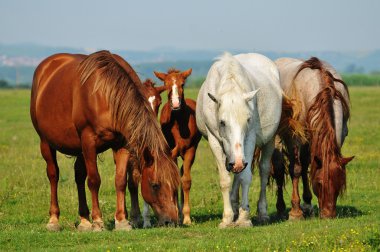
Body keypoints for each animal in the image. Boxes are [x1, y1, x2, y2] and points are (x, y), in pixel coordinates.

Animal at [30, 50, 180, 231]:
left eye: (175, 184)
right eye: (155, 185)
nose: (170, 221)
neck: (106, 94)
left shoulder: (122, 144)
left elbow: (120, 180)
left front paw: (122, 220)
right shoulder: (89, 141)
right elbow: (94, 180)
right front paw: (98, 221)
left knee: (79, 175)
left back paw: (84, 220)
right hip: (46, 142)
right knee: (53, 175)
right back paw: (54, 220)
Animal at [154, 67, 202, 224]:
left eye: (182, 84)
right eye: (166, 85)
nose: (175, 104)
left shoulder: (190, 150)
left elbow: (186, 181)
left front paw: (186, 217)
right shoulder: (171, 151)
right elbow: (174, 178)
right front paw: (175, 211)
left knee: (183, 174)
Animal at [196, 52, 282, 227]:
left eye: (248, 120)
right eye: (222, 122)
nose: (238, 162)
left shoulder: (249, 139)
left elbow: (245, 177)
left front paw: (244, 218)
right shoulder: (215, 141)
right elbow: (225, 180)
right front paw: (227, 218)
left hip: (267, 142)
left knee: (263, 171)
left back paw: (262, 213)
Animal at [274, 56, 354, 219]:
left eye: (339, 184)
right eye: (320, 183)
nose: (329, 215)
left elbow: (306, 167)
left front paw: (305, 206)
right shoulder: (295, 137)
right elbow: (295, 169)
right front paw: (295, 212)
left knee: (305, 165)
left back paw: (307, 204)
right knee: (280, 168)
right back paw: (281, 208)